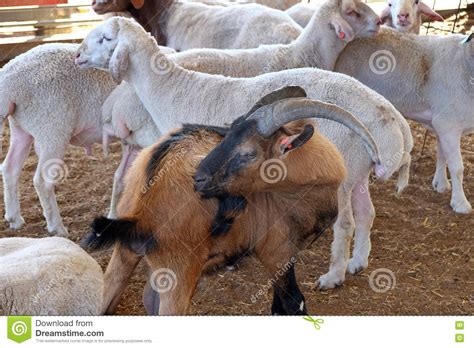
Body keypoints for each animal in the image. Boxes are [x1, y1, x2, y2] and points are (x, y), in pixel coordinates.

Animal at [0, 42, 117, 237]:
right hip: (53, 128)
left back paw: (14, 219)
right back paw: (57, 228)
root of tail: (9, 80)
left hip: (20, 128)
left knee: (10, 168)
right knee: (42, 181)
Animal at [77, 15, 412, 290]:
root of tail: (393, 120)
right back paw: (358, 262)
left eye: (105, 38)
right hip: (360, 172)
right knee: (367, 212)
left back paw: (333, 276)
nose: (78, 54)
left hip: (346, 170)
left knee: (345, 225)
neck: (172, 89)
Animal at [83, 87, 382, 316]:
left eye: (248, 153)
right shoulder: (277, 250)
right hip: (178, 274)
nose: (199, 178)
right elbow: (294, 303)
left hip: (125, 257)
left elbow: (277, 308)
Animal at [336, 27, 474, 215]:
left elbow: (442, 155)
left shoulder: (442, 123)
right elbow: (457, 167)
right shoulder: (449, 124)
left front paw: (441, 184)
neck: (466, 61)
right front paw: (460, 203)